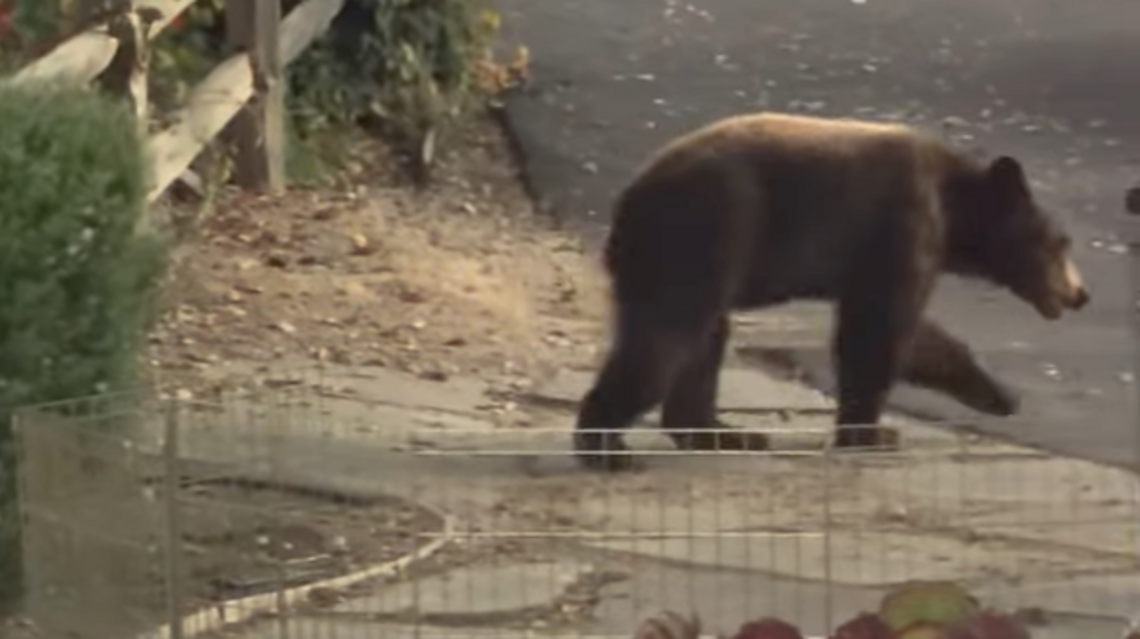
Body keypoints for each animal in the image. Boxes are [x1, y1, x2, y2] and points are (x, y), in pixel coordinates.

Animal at [574, 111, 1090, 473]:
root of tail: (626, 205)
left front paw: (1000, 393)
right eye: (1060, 241)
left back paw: (723, 432)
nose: (1080, 294)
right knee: (666, 340)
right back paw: (608, 448)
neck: (952, 208)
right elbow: (878, 332)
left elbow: (917, 335)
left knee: (703, 343)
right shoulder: (898, 227)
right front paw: (872, 435)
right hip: (703, 235)